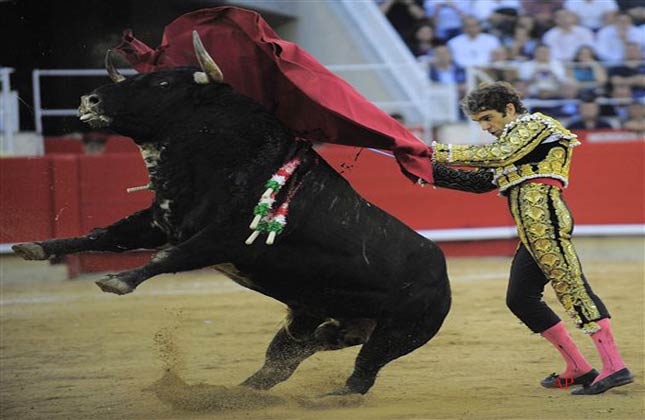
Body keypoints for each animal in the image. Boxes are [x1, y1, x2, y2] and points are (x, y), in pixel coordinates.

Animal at [12, 32, 450, 394]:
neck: (226, 158)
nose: (91, 100)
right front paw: (37, 247)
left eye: (164, 84)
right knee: (279, 366)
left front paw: (118, 280)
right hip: (316, 323)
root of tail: (442, 274)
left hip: (398, 333)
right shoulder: (160, 221)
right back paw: (232, 397)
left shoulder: (223, 238)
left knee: (363, 374)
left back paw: (328, 400)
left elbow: (169, 257)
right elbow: (102, 234)